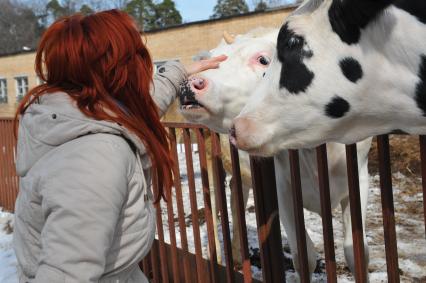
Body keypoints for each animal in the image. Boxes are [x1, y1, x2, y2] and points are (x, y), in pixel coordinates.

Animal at [180, 28, 372, 282]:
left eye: (263, 59)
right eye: (214, 58)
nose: (190, 83)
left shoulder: (358, 179)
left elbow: (357, 253)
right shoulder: (284, 189)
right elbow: (304, 256)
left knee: (236, 193)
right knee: (212, 199)